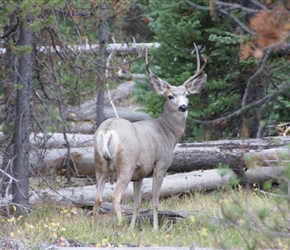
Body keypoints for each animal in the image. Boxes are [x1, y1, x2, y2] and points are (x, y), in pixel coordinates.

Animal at [93, 44, 206, 229]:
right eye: (170, 96)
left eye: (187, 95)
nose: (183, 107)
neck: (168, 133)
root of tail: (107, 130)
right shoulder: (160, 165)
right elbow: (155, 200)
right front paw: (155, 229)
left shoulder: (139, 173)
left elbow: (137, 203)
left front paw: (133, 228)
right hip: (126, 163)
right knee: (114, 195)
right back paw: (120, 225)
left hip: (100, 163)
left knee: (97, 196)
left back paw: (96, 227)